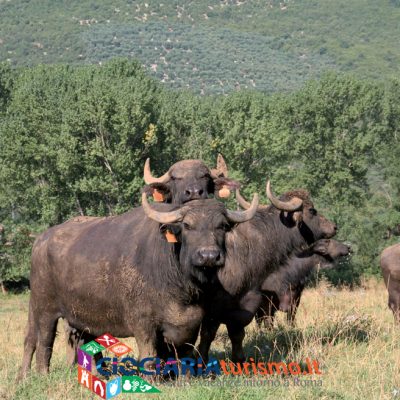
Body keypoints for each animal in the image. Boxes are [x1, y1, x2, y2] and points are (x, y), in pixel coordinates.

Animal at [17, 192, 258, 380]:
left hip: (84, 315)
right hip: (44, 308)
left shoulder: (192, 322)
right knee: (42, 341)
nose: (209, 255)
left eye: (222, 226)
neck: (182, 287)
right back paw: (38, 374)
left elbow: (184, 353)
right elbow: (149, 353)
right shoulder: (142, 323)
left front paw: (183, 378)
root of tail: (40, 241)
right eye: (187, 226)